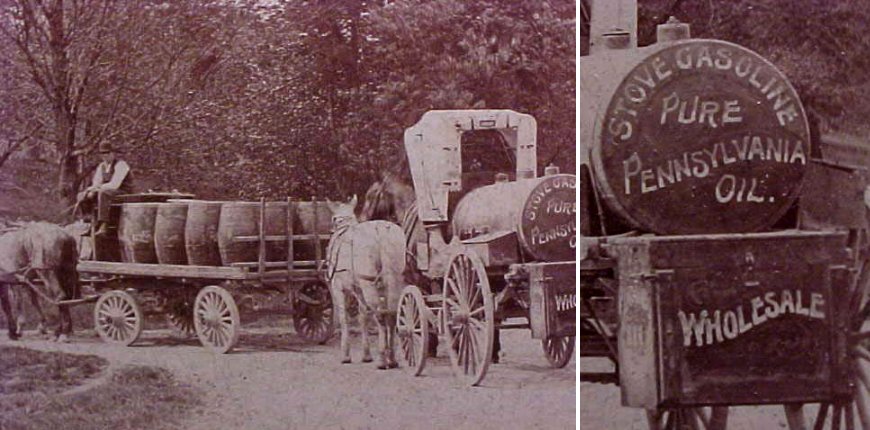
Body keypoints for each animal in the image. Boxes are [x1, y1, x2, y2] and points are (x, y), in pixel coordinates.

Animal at [328, 197, 408, 368]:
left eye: (333, 218)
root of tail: (382, 232)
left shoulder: (338, 289)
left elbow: (344, 319)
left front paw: (345, 355)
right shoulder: (359, 290)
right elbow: (363, 317)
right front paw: (366, 355)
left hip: (369, 285)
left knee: (380, 315)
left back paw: (382, 359)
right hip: (394, 281)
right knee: (391, 315)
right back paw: (392, 358)